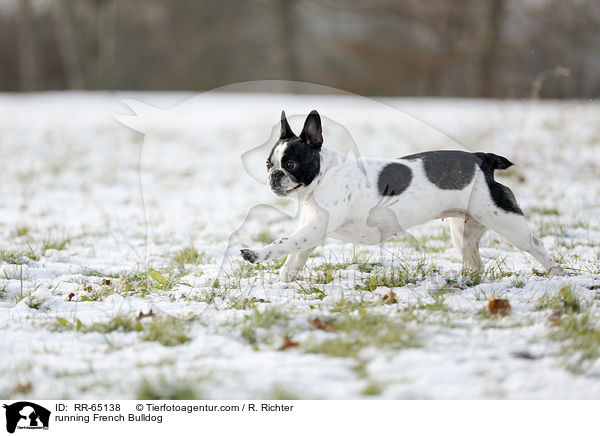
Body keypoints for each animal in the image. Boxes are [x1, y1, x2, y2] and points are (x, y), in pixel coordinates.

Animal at [239, 110, 564, 282]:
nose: (274, 176)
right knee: (475, 260)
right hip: (464, 232)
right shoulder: (311, 233)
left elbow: (284, 243)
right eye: (268, 164)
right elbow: (294, 258)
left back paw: (558, 273)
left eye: (291, 164)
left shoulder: (315, 229)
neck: (323, 177)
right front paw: (284, 281)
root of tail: (482, 159)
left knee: (535, 244)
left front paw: (256, 254)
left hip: (506, 221)